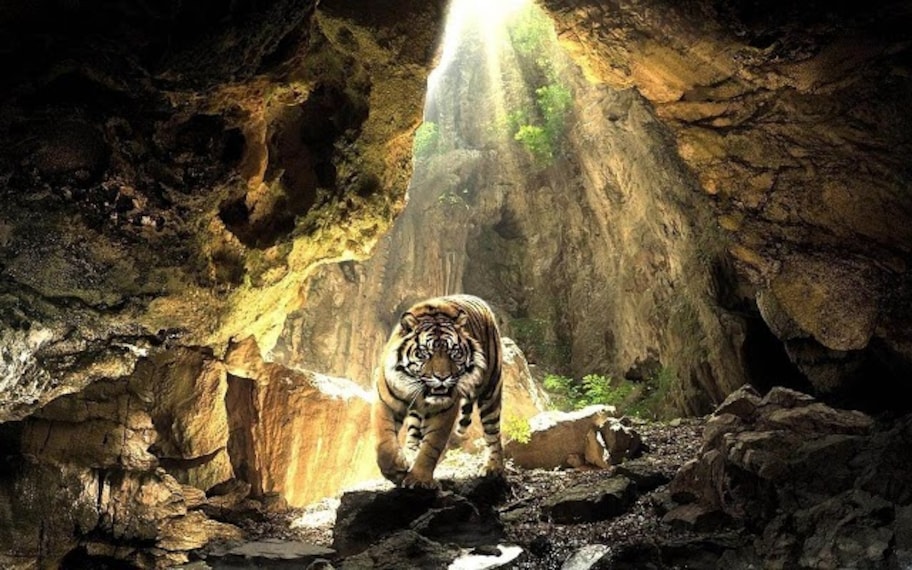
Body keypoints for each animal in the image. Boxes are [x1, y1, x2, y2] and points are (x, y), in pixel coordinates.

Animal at [371, 294, 505, 488]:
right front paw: (396, 470)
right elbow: (384, 440)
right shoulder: (385, 401)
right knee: (413, 433)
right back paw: (409, 455)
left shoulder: (444, 410)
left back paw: (493, 467)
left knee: (493, 433)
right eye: (424, 353)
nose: (442, 377)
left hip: (491, 390)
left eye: (454, 353)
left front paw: (419, 479)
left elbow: (431, 446)